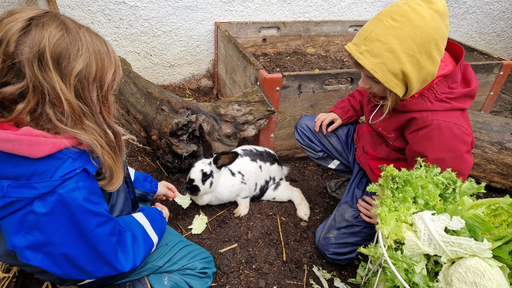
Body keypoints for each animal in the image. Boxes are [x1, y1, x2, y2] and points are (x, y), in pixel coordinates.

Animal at [184, 145, 312, 222]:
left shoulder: (243, 190)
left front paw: (239, 212)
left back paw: (304, 213)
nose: (188, 188)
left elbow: (244, 201)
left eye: (205, 176)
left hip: (271, 191)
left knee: (295, 191)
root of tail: (278, 163)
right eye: (191, 168)